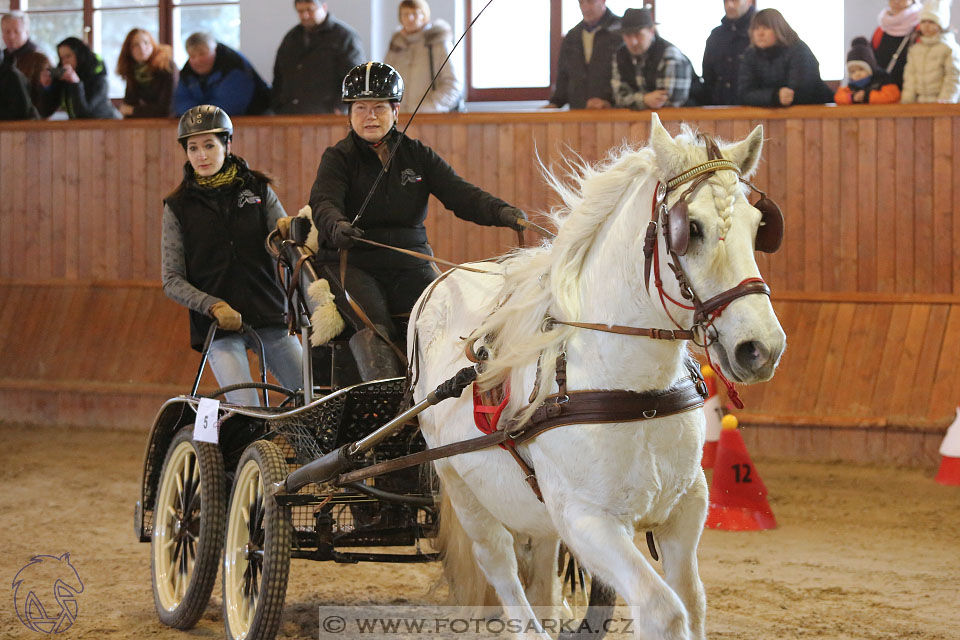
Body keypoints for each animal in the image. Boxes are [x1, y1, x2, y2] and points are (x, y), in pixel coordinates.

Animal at [408, 115, 784, 640]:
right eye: (691, 229)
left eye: (757, 228)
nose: (761, 348)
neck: (636, 393)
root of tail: (438, 285)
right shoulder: (589, 521)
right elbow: (664, 609)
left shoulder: (686, 508)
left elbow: (692, 602)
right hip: (461, 485)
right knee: (501, 567)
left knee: (541, 569)